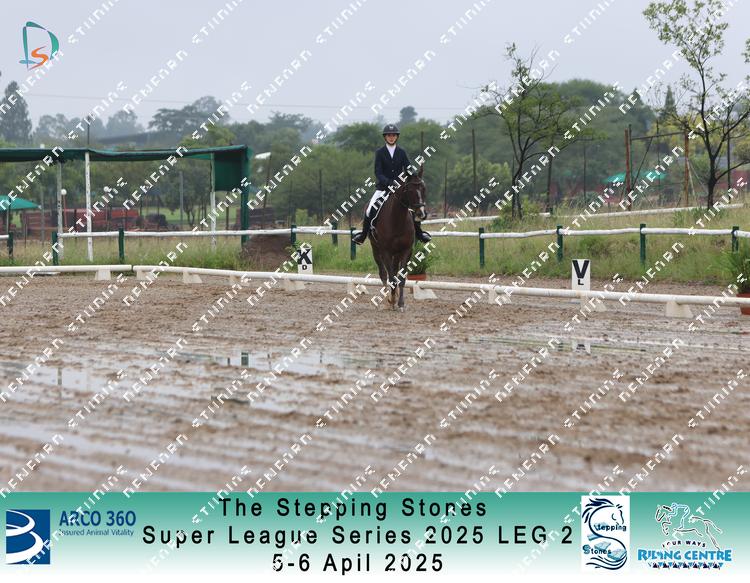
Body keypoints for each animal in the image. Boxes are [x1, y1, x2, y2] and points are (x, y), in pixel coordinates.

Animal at [368, 166, 426, 311]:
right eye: (409, 190)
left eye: (424, 189)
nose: (421, 214)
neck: (397, 220)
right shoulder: (386, 251)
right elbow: (391, 277)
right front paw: (392, 301)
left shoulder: (406, 251)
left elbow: (401, 278)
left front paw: (400, 303)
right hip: (376, 249)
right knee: (383, 274)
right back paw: (387, 299)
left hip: (397, 254)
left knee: (393, 271)